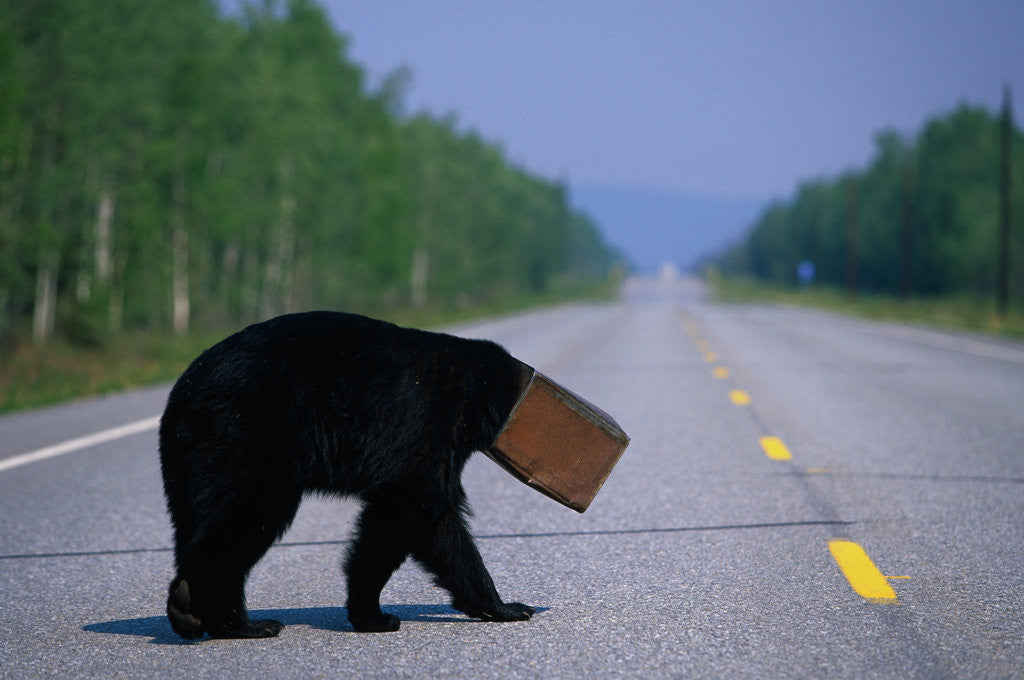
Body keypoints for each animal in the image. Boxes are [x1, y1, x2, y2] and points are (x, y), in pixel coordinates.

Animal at [158, 311, 536, 639]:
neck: (469, 386)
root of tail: (187, 388)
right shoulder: (427, 422)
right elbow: (412, 508)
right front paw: (375, 615)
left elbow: (415, 523)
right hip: (250, 433)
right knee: (250, 516)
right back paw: (230, 619)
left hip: (184, 461)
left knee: (195, 522)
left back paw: (197, 613)